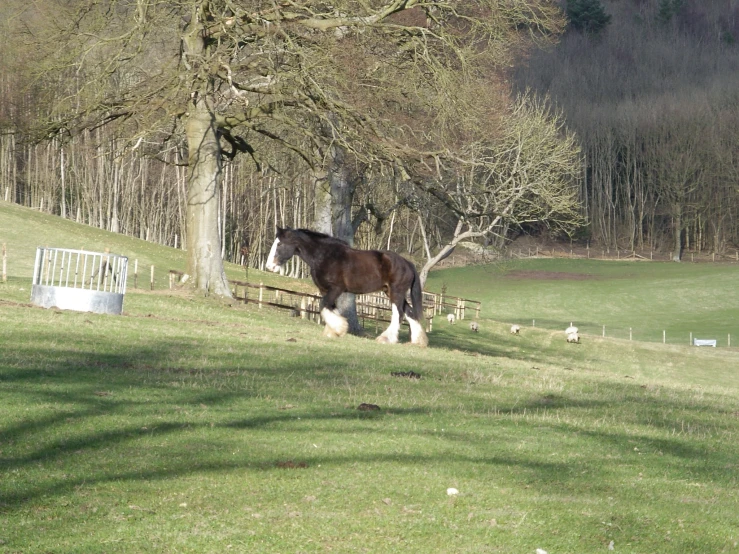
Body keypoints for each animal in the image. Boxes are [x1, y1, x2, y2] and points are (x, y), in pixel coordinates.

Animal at [266, 225, 428, 344]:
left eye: (279, 244)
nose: (269, 267)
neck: (324, 256)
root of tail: (407, 263)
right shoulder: (326, 290)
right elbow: (330, 308)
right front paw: (334, 331)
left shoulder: (336, 289)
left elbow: (323, 306)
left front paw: (339, 328)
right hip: (391, 292)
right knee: (409, 313)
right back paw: (418, 341)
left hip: (396, 292)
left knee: (398, 313)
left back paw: (386, 338)